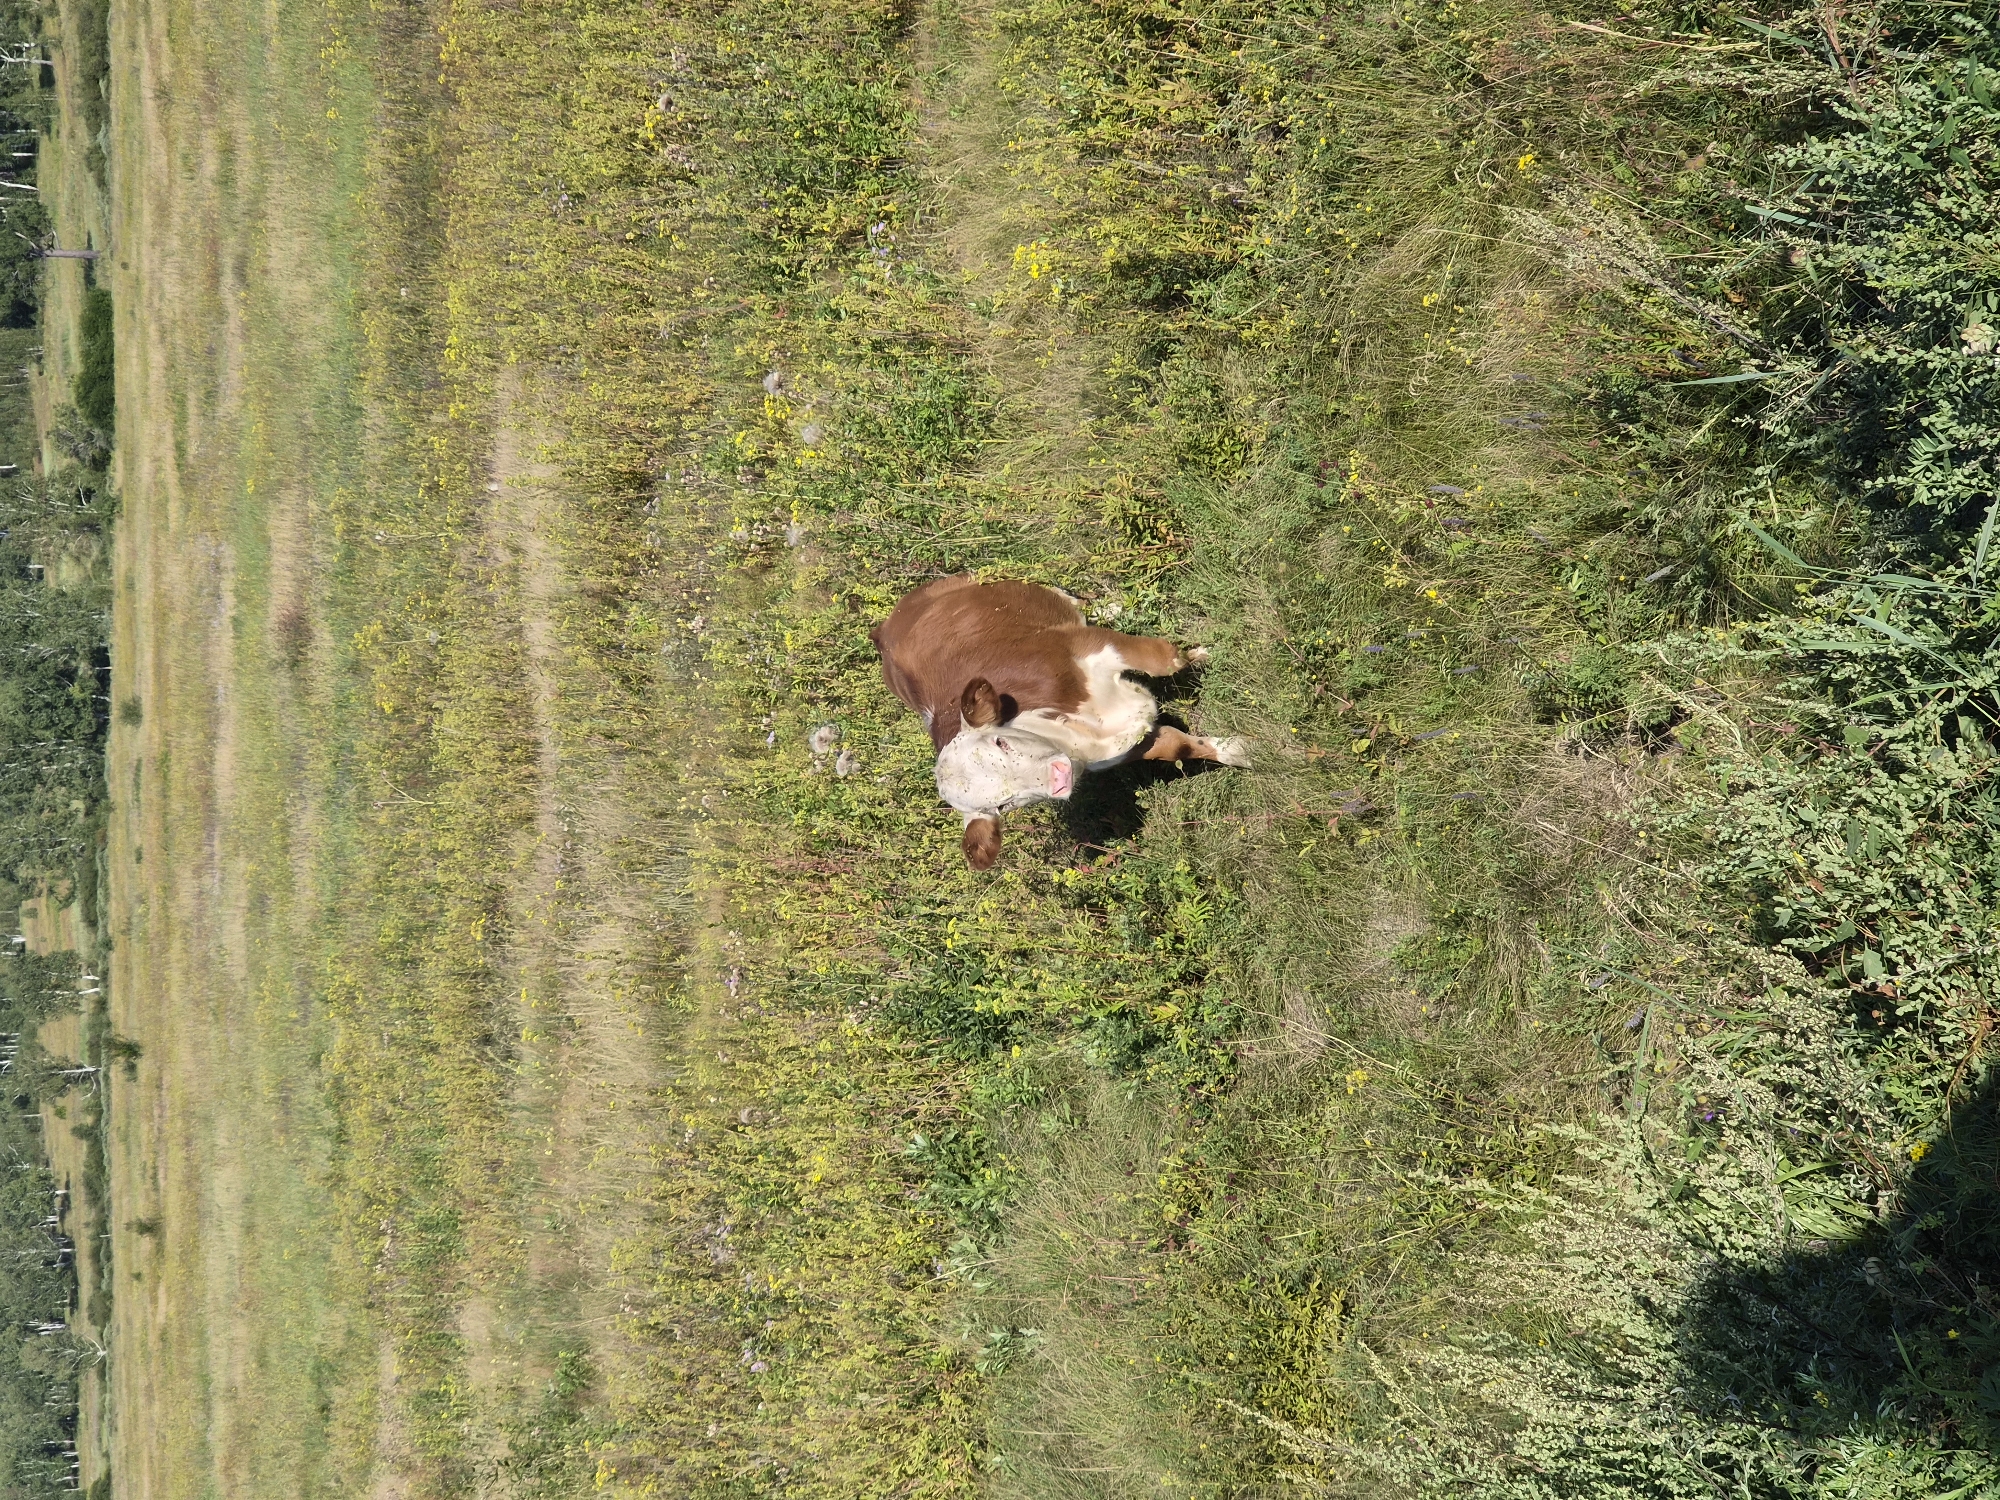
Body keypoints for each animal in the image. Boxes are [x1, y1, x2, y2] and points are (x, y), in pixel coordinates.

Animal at [870, 576, 1250, 868]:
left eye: (1000, 741)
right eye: (1002, 805)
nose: (1058, 777)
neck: (1084, 730)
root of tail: (883, 630)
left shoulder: (1084, 644)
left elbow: (1166, 660)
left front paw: (1204, 656)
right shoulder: (1122, 748)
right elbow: (1179, 746)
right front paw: (1242, 752)